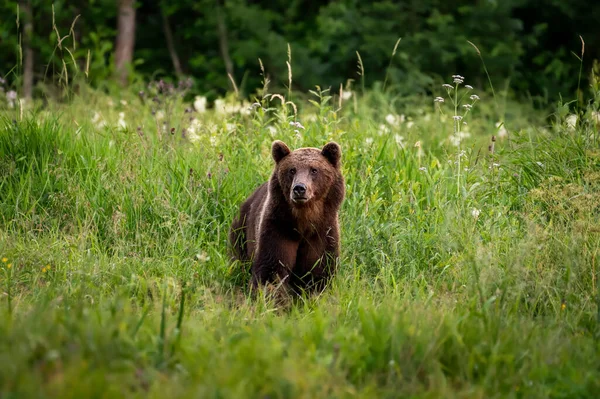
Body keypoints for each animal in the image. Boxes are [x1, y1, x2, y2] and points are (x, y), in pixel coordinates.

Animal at [230, 140, 344, 294]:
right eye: (292, 170)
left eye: (314, 170)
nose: (299, 188)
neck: (304, 219)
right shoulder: (279, 227)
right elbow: (272, 267)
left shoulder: (322, 231)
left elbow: (319, 268)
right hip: (242, 227)